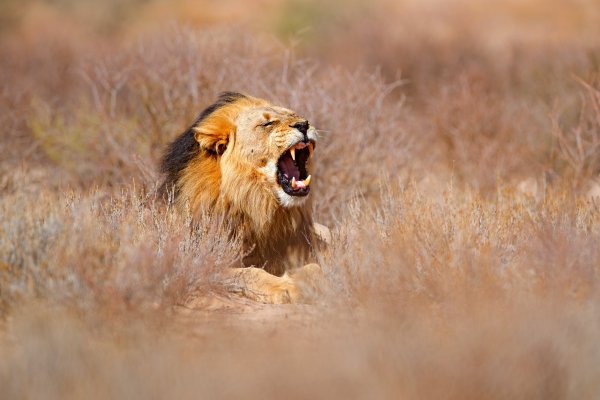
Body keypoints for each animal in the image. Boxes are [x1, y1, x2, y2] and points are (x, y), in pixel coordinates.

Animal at [159, 91, 328, 304]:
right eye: (267, 123)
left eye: (294, 114)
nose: (304, 124)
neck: (257, 205)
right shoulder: (200, 263)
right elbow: (249, 273)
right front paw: (285, 286)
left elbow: (317, 268)